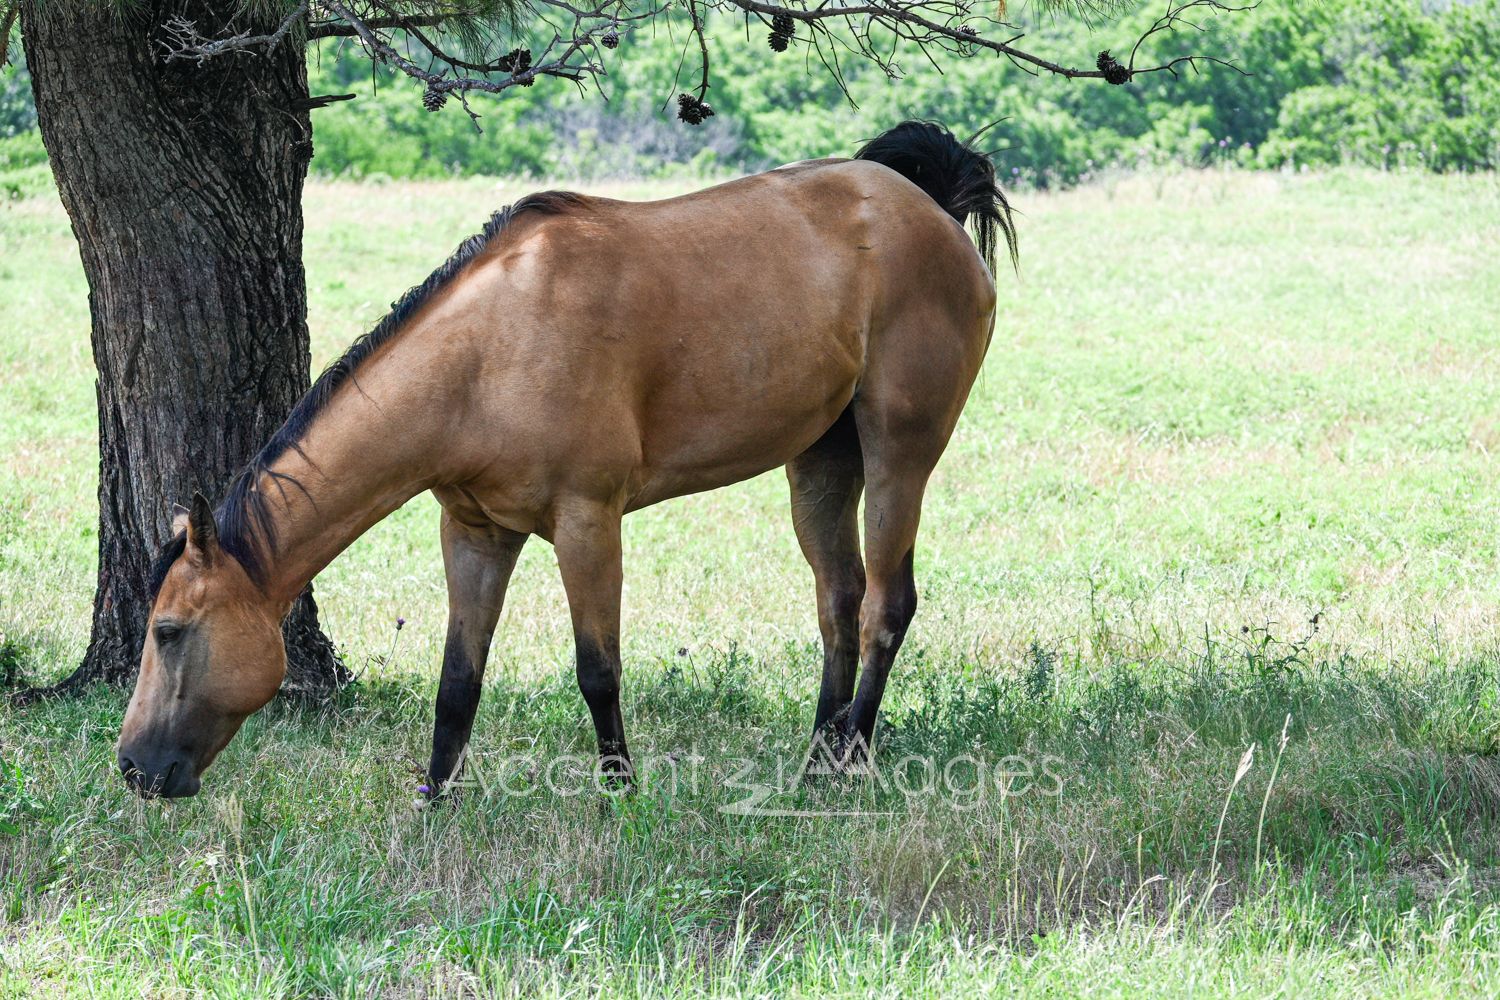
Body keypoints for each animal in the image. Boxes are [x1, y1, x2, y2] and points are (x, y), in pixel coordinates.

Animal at [115, 120, 1015, 799]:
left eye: (168, 630)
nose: (131, 768)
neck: (489, 353)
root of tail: (928, 208)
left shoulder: (588, 522)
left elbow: (598, 670)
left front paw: (622, 797)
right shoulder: (475, 533)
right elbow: (458, 682)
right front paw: (434, 803)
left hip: (900, 451)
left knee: (886, 607)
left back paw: (849, 757)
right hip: (821, 464)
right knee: (839, 601)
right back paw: (814, 763)